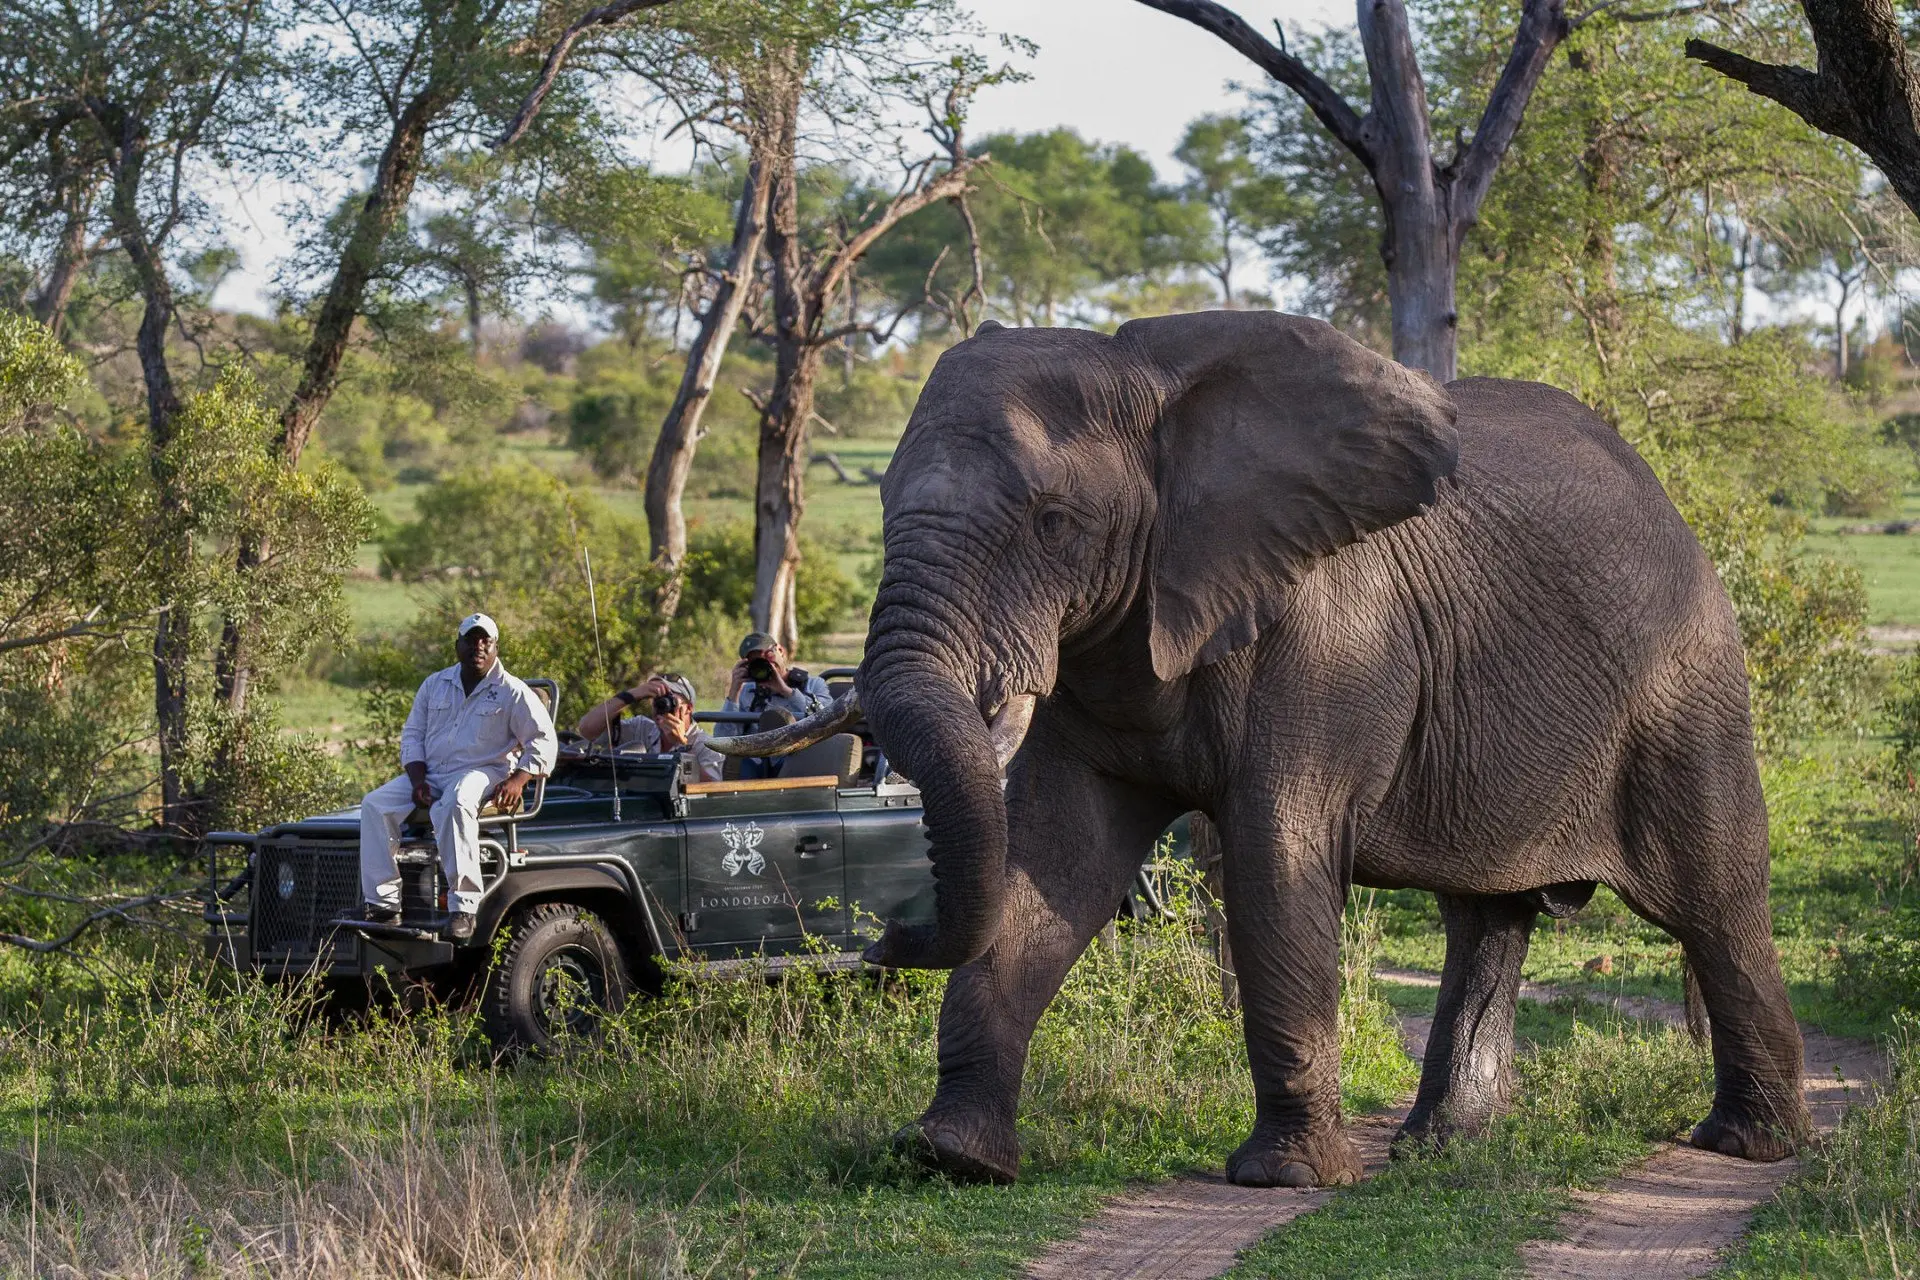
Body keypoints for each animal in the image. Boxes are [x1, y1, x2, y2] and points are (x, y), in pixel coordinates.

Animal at [721, 310, 1812, 1189]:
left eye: (1053, 522)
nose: (883, 937)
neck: (1150, 382)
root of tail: (1667, 497)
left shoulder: (1327, 638)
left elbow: (1274, 858)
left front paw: (1283, 1179)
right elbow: (1053, 862)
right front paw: (953, 1157)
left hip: (1686, 680)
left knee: (1713, 899)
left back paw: (1748, 1146)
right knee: (1487, 914)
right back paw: (1439, 1151)